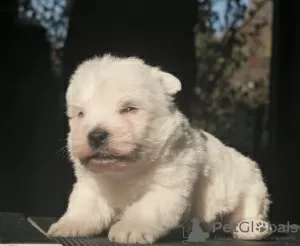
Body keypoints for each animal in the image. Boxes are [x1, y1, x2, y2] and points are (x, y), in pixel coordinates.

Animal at [47, 54, 272, 244]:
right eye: (80, 114)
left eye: (129, 109)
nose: (95, 136)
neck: (125, 172)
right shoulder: (91, 186)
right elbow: (84, 206)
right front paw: (70, 224)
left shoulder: (168, 185)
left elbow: (146, 209)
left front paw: (130, 229)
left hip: (251, 185)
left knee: (249, 208)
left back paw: (252, 228)